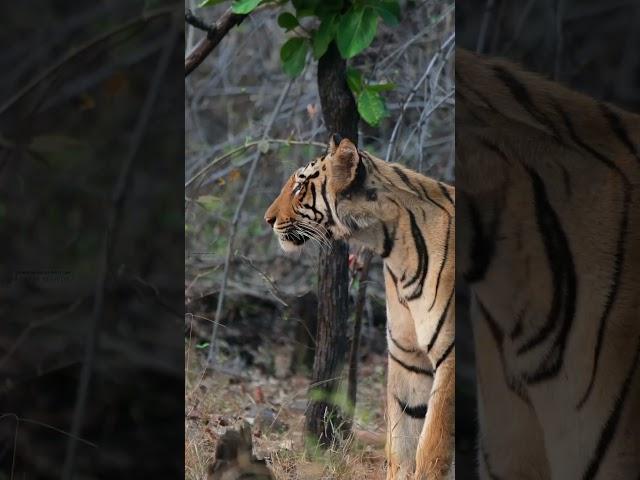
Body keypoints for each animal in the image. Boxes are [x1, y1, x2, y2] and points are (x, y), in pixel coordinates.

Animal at [264, 133, 456, 478]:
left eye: (300, 188)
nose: (268, 219)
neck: (394, 248)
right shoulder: (407, 356)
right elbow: (403, 439)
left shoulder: (452, 355)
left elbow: (432, 444)